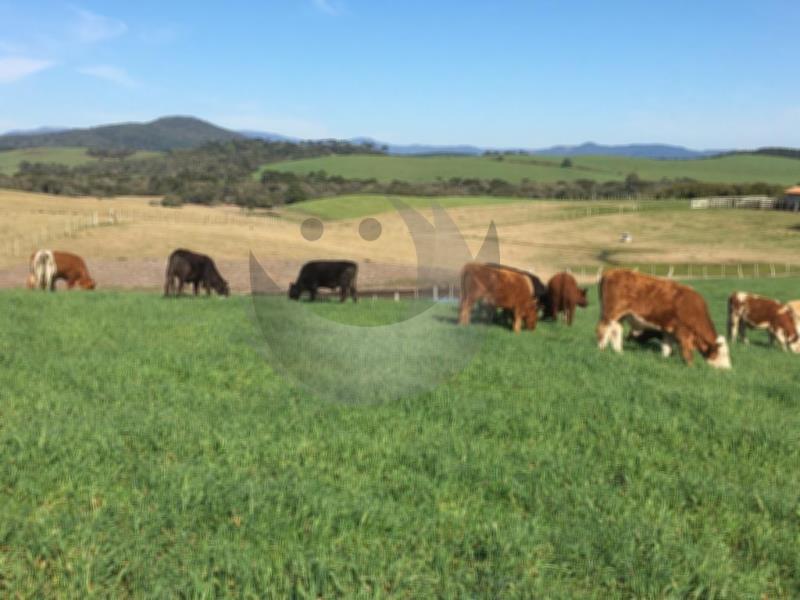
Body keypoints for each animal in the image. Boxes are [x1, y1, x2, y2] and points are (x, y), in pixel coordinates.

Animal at [592, 270, 732, 368]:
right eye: (722, 353)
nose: (728, 369)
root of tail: (610, 272)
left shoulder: (668, 329)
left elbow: (667, 346)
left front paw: (665, 359)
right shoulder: (683, 332)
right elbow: (686, 351)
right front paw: (690, 366)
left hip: (620, 316)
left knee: (616, 331)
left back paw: (619, 352)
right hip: (610, 313)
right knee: (602, 329)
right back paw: (601, 349)